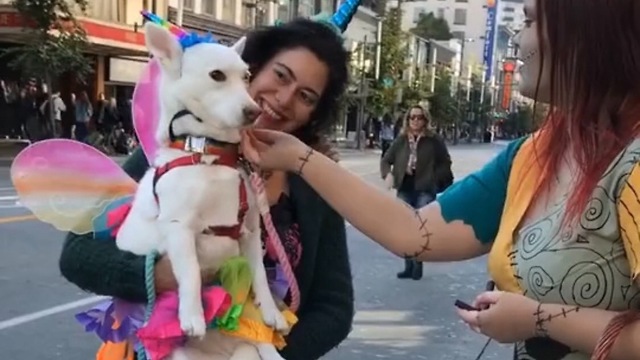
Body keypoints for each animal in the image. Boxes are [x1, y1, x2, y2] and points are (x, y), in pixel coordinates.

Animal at [117, 23, 290, 360]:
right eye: (217, 75)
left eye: (247, 76)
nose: (253, 112)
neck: (209, 152)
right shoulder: (179, 228)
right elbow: (192, 272)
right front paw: (193, 315)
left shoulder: (251, 231)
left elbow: (260, 274)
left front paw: (271, 312)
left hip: (250, 342)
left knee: (263, 345)